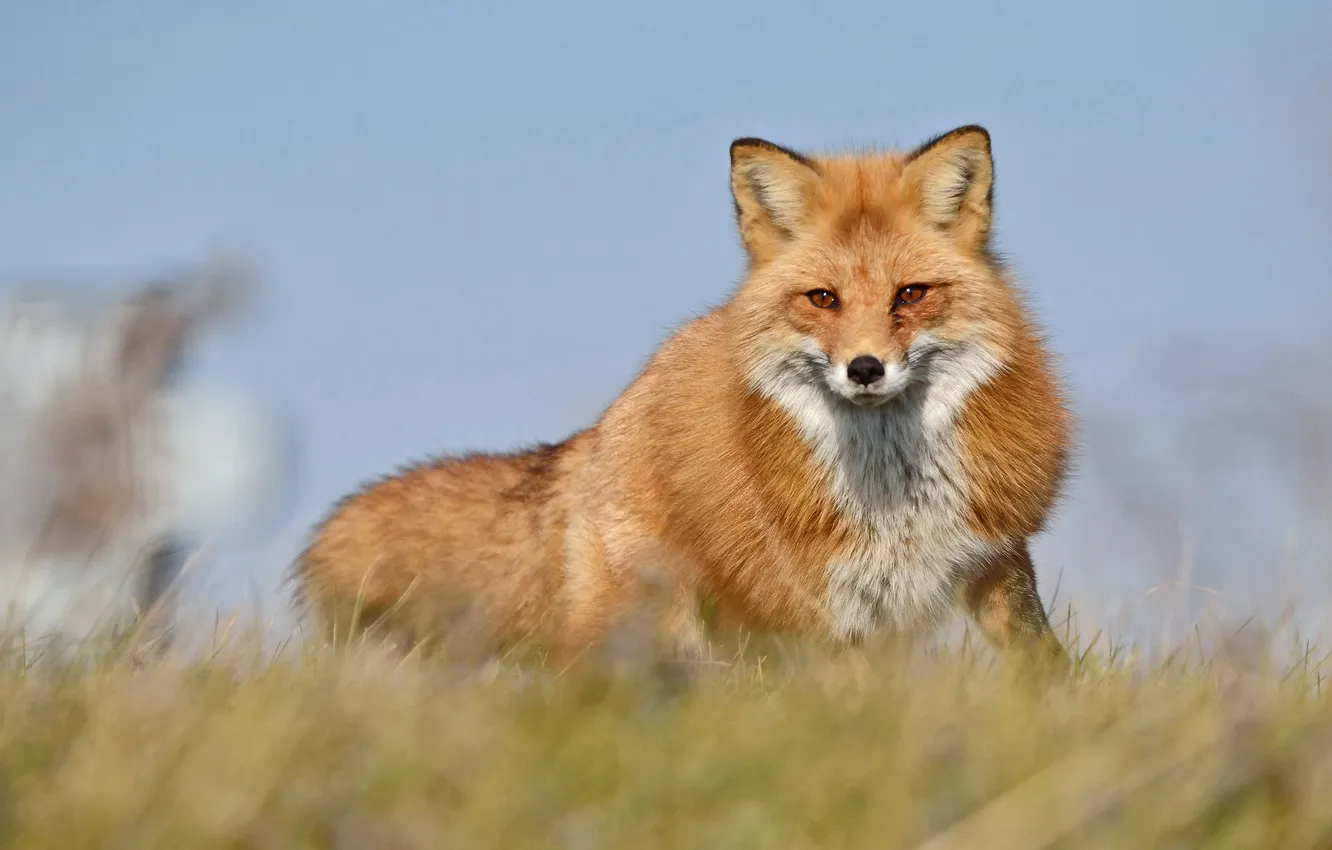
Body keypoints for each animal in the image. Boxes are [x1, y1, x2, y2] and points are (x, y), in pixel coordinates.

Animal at [294, 125, 1074, 672]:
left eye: (910, 295)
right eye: (822, 299)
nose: (864, 368)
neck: (894, 493)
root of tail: (602, 426)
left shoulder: (994, 557)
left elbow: (1041, 668)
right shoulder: (826, 608)